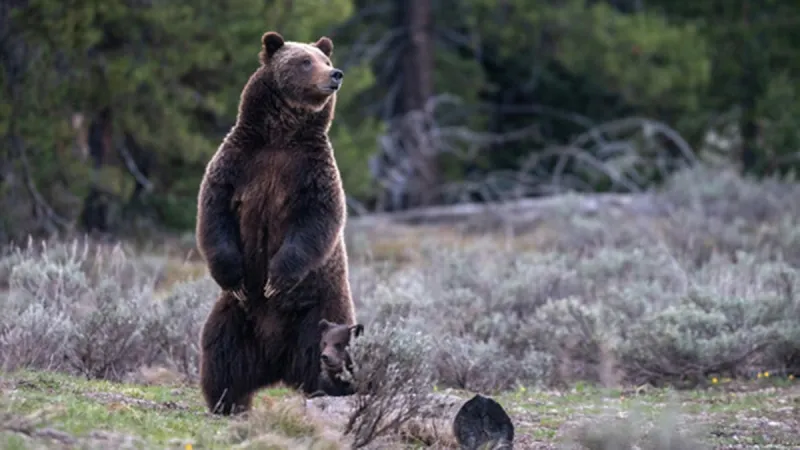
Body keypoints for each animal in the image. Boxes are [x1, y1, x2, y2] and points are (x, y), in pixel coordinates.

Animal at [194, 30, 356, 415]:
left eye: (325, 59)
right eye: (305, 61)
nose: (335, 74)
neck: (281, 135)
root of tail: (277, 363)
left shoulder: (311, 172)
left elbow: (316, 221)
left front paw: (276, 279)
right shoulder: (239, 162)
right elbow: (214, 214)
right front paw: (236, 277)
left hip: (321, 308)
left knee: (321, 348)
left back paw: (329, 390)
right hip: (236, 317)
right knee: (221, 351)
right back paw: (226, 401)